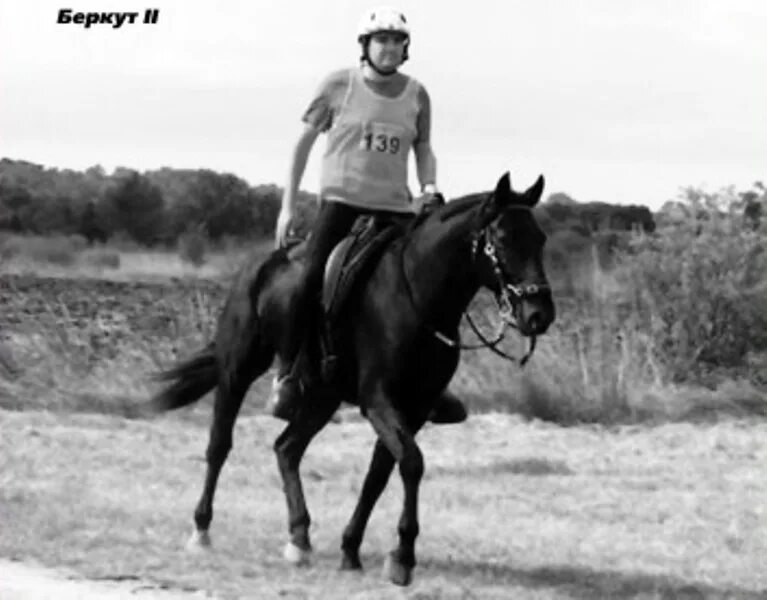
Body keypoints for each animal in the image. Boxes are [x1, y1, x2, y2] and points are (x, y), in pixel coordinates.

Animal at [148, 171, 560, 584]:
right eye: (504, 238)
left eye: (540, 238)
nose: (539, 314)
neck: (416, 295)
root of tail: (259, 263)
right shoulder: (378, 401)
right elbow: (412, 463)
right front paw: (403, 556)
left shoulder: (414, 408)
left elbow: (379, 474)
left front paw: (352, 549)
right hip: (239, 369)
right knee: (220, 444)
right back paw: (201, 529)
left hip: (322, 395)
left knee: (287, 448)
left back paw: (299, 537)